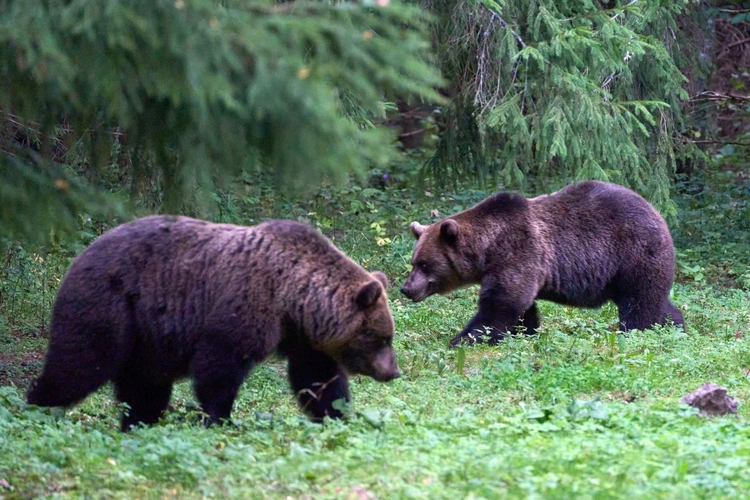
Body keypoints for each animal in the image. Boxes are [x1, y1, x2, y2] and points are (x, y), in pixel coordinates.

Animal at [25, 215, 400, 430]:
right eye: (382, 337)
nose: (393, 371)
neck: (293, 298)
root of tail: (79, 256)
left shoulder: (302, 336)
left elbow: (318, 377)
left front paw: (337, 414)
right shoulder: (245, 305)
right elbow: (218, 369)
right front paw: (220, 419)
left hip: (145, 340)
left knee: (144, 387)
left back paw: (138, 423)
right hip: (108, 308)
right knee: (78, 364)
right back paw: (38, 406)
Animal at [402, 181, 684, 348]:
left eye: (425, 265)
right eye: (414, 262)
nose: (406, 288)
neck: (489, 248)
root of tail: (658, 212)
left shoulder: (519, 253)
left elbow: (499, 306)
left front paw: (461, 339)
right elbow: (521, 308)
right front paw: (524, 332)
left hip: (634, 254)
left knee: (639, 302)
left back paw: (635, 330)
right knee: (655, 300)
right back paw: (675, 324)